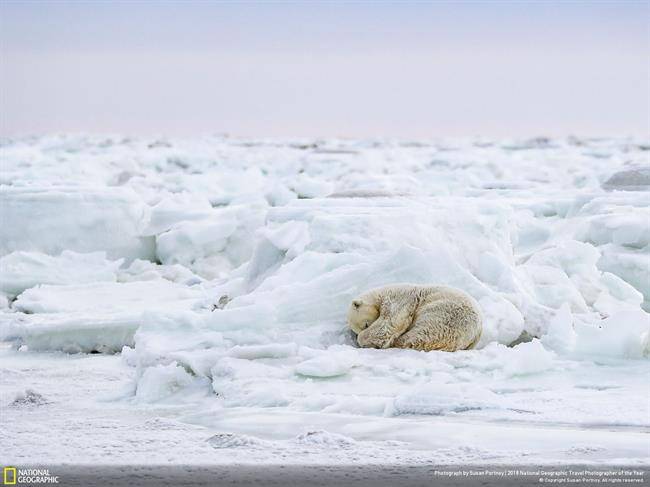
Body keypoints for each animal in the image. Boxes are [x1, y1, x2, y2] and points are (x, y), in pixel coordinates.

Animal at [350, 284, 480, 352]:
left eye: (366, 325)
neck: (381, 294)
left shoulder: (399, 299)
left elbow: (390, 322)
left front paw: (364, 340)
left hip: (443, 314)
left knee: (420, 335)